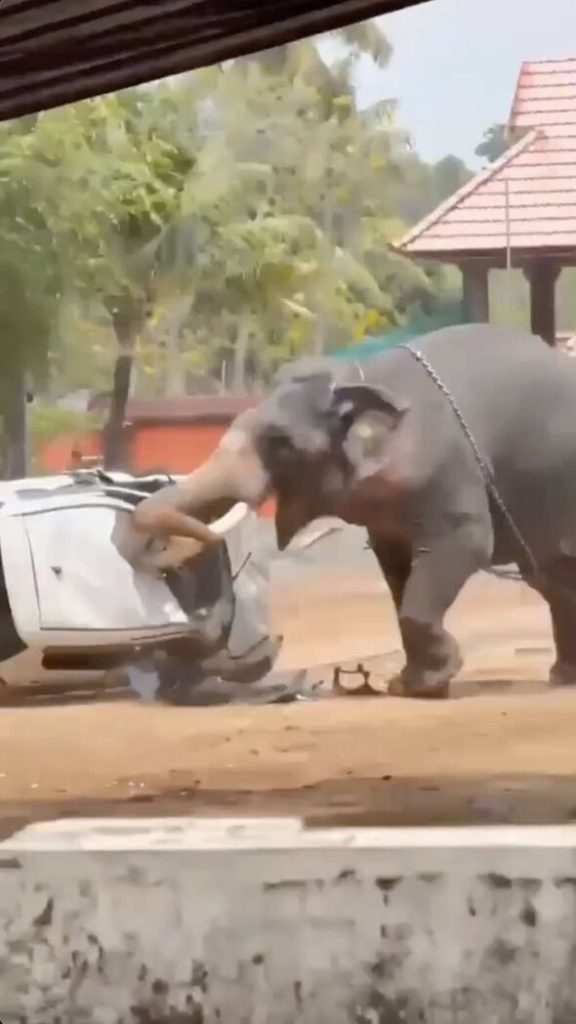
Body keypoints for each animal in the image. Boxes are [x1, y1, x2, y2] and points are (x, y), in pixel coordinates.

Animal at [131, 323, 576, 699]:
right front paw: (410, 684)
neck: (361, 377)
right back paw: (562, 679)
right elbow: (395, 566)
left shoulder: (449, 472)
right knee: (550, 577)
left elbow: (465, 545)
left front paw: (427, 683)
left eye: (281, 445)